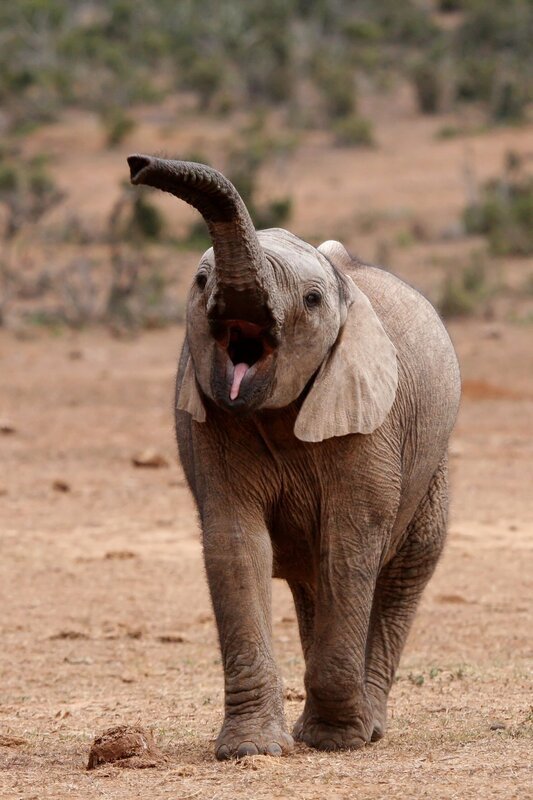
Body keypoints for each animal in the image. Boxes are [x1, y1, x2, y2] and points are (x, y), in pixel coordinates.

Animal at [128, 154, 461, 760]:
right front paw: (253, 750)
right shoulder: (210, 421)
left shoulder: (371, 422)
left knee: (403, 569)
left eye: (311, 300)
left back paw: (368, 727)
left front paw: (337, 740)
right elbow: (237, 546)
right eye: (200, 281)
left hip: (431, 469)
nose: (137, 165)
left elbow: (350, 547)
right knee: (310, 583)